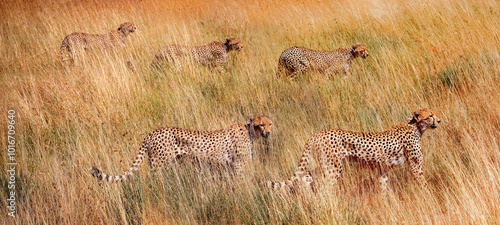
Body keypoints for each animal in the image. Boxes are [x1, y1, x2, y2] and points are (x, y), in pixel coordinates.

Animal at [89, 115, 270, 182]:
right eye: (261, 124)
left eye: (270, 123)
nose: (268, 132)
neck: (251, 131)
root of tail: (153, 132)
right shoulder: (239, 163)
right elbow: (242, 178)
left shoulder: (232, 164)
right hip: (159, 164)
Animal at [268, 108, 440, 193]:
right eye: (430, 115)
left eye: (434, 114)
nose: (439, 120)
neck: (415, 126)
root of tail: (318, 134)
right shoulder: (415, 165)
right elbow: (423, 183)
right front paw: (430, 196)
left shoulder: (383, 168)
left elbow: (383, 186)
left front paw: (384, 201)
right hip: (333, 167)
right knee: (324, 186)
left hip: (326, 164)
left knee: (306, 177)